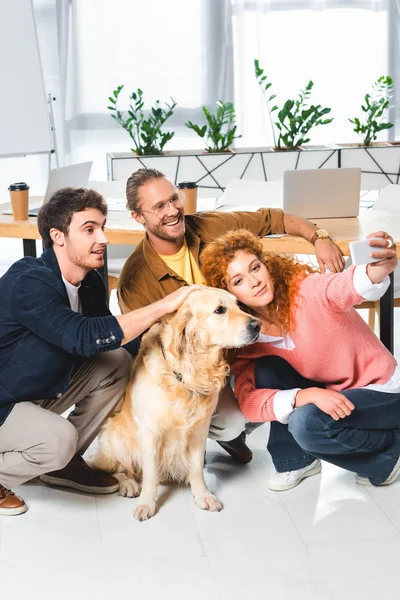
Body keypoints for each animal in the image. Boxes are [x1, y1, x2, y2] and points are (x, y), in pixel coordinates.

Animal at [92, 288, 260, 520]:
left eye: (238, 305)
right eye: (219, 310)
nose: (258, 325)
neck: (190, 370)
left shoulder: (200, 429)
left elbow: (197, 468)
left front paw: (203, 495)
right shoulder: (149, 431)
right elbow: (150, 474)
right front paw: (146, 503)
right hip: (114, 436)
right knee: (113, 468)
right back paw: (128, 484)